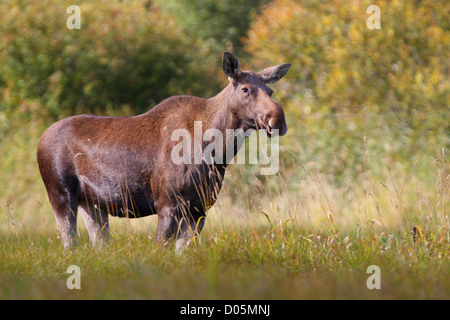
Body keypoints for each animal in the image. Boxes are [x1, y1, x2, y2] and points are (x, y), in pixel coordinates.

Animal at [37, 52, 292, 250]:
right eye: (246, 89)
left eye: (270, 91)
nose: (277, 119)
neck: (216, 152)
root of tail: (40, 140)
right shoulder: (167, 205)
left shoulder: (198, 210)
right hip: (60, 194)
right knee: (69, 244)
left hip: (92, 203)